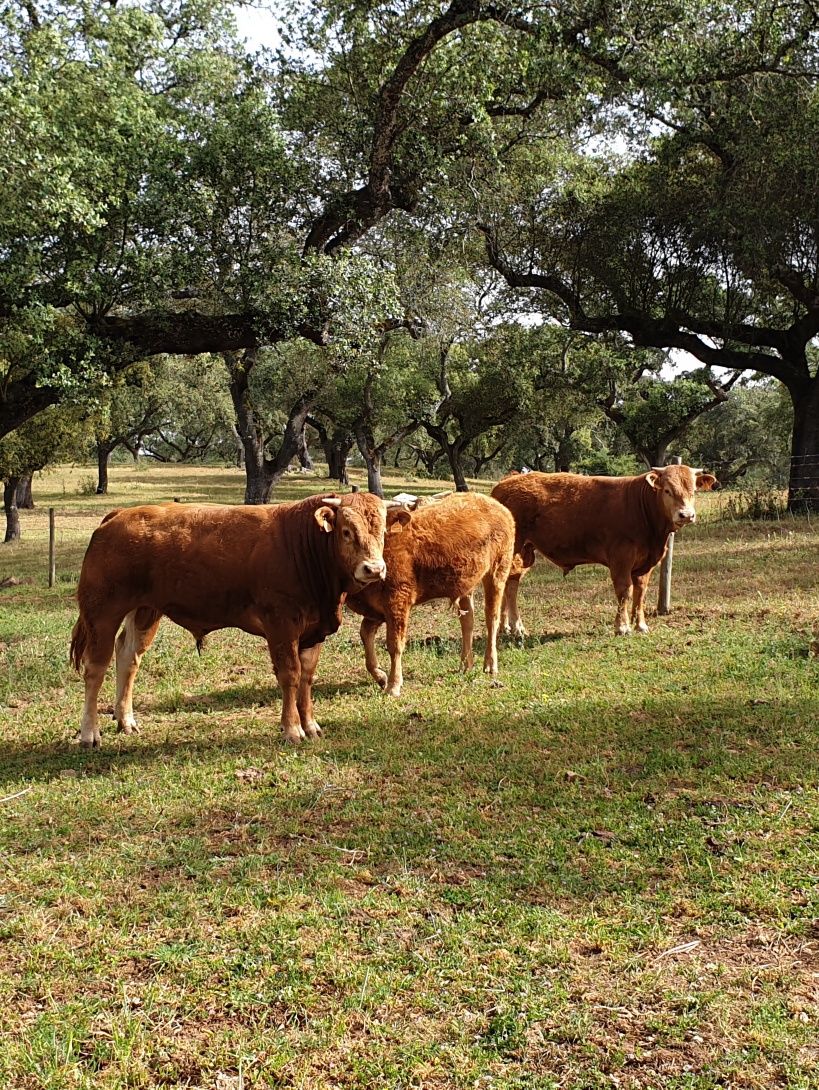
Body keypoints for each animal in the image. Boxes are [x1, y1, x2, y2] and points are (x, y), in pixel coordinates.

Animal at [68, 497, 405, 745]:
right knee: (95, 669)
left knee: (128, 658)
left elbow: (307, 677)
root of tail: (119, 515)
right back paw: (89, 733)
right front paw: (292, 729)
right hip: (102, 613)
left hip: (145, 611)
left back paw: (126, 720)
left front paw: (310, 724)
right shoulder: (281, 625)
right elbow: (290, 675)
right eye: (346, 531)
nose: (374, 569)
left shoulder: (313, 630)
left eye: (383, 532)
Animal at [344, 492, 512, 693]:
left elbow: (394, 644)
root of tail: (499, 507)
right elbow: (365, 634)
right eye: (346, 531)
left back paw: (490, 664)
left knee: (491, 618)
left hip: (497, 574)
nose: (373, 568)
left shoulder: (397, 602)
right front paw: (381, 677)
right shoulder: (376, 610)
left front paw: (393, 685)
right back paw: (465, 665)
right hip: (467, 585)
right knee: (468, 621)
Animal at [492, 466, 715, 636]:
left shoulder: (646, 563)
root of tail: (507, 482)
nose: (686, 515)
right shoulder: (621, 558)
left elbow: (640, 592)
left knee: (510, 582)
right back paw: (516, 627)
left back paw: (505, 627)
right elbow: (625, 591)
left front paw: (641, 625)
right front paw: (623, 627)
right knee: (507, 583)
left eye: (693, 491)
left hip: (524, 552)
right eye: (667, 490)